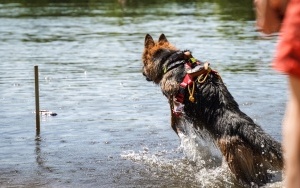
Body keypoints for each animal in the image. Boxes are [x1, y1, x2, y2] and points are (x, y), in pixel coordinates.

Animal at [142, 33, 282, 185]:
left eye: (143, 62)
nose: (142, 72)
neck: (171, 61)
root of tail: (243, 127)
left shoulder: (174, 102)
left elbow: (175, 122)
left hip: (235, 160)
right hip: (257, 161)